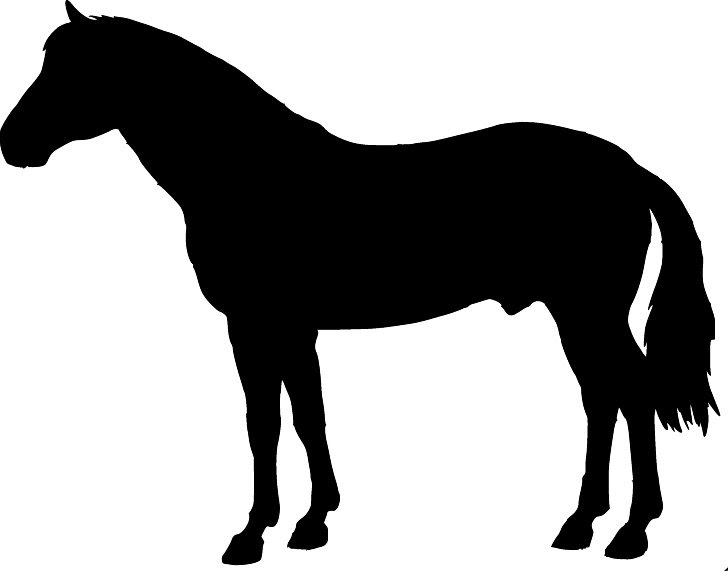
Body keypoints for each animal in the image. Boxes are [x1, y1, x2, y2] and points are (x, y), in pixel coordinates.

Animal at [0, 2, 717, 565]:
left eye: (74, 70)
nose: (13, 143)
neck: (249, 172)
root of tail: (629, 168)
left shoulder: (253, 324)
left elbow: (265, 422)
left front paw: (252, 534)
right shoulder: (293, 328)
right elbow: (305, 415)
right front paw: (311, 520)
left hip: (590, 311)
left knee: (630, 396)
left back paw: (631, 531)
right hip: (574, 314)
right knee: (602, 399)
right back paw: (580, 523)